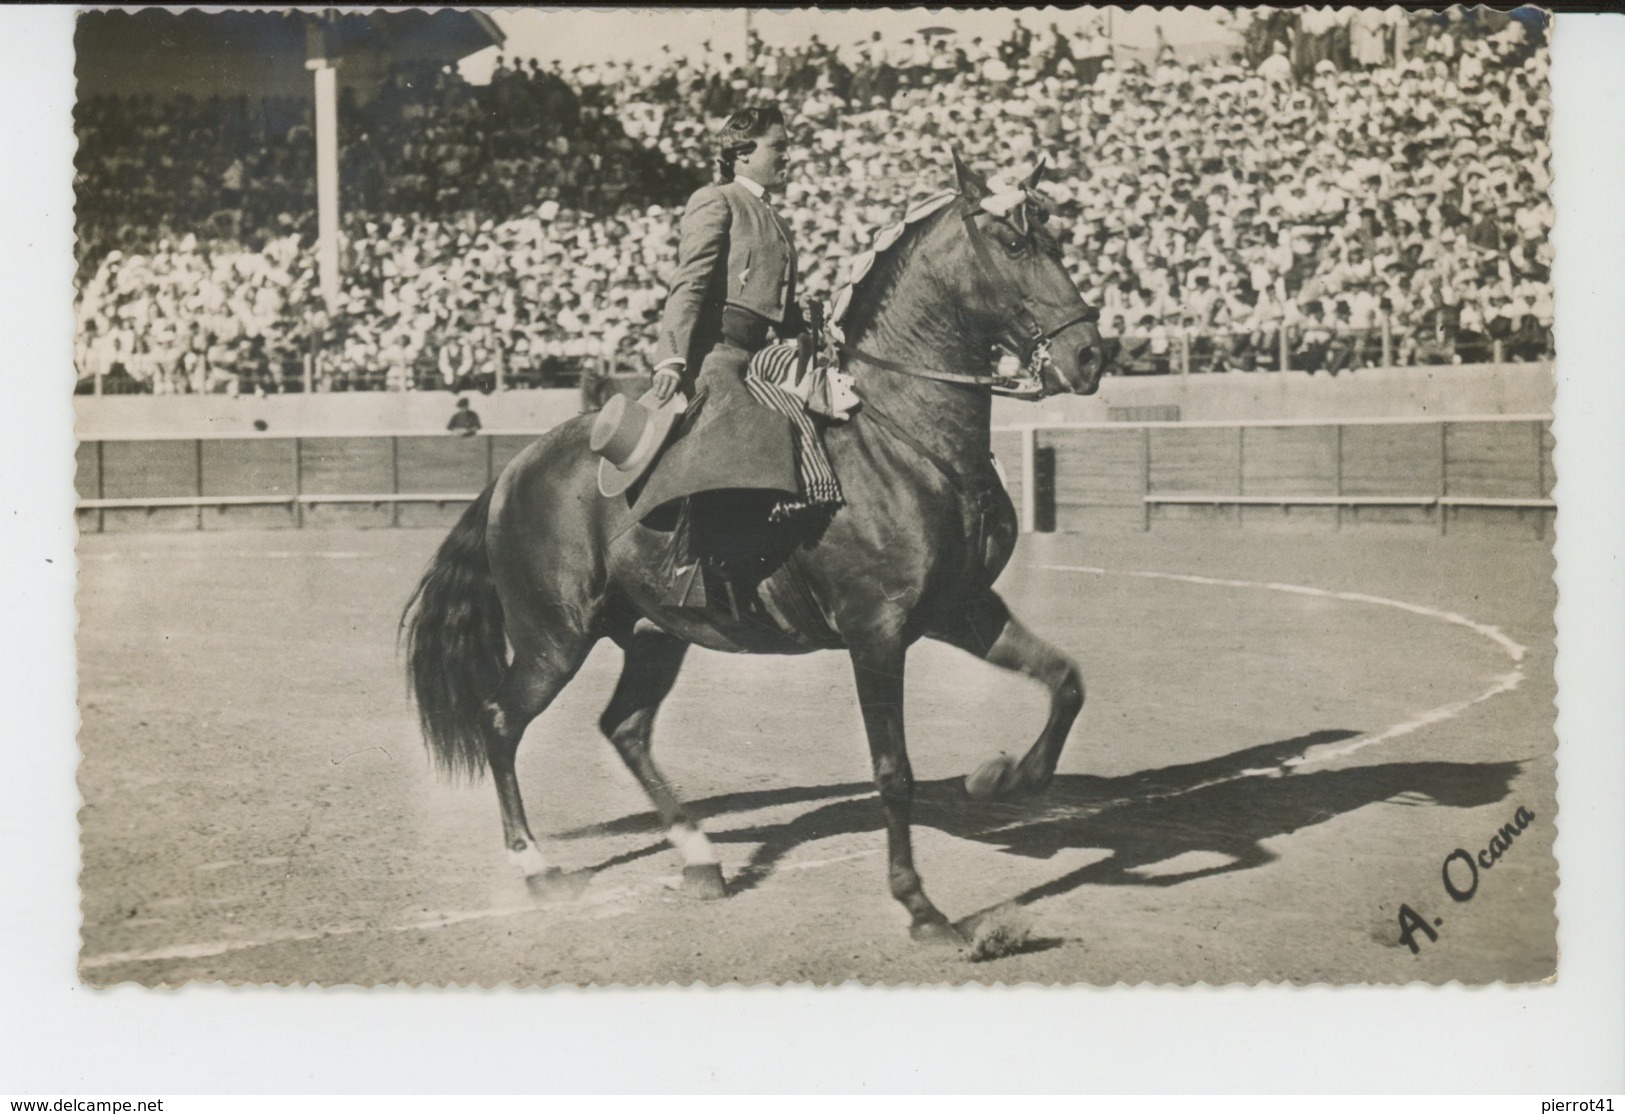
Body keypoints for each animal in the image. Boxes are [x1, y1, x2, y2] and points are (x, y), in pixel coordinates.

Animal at [404, 155, 1111, 941]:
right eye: (1014, 245)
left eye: (1058, 237)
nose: (1090, 355)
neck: (902, 439)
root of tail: (514, 468)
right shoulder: (877, 630)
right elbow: (892, 770)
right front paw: (921, 907)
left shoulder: (959, 608)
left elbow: (1066, 681)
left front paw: (1005, 778)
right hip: (552, 639)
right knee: (501, 722)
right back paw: (536, 869)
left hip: (654, 635)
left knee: (625, 728)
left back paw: (699, 859)